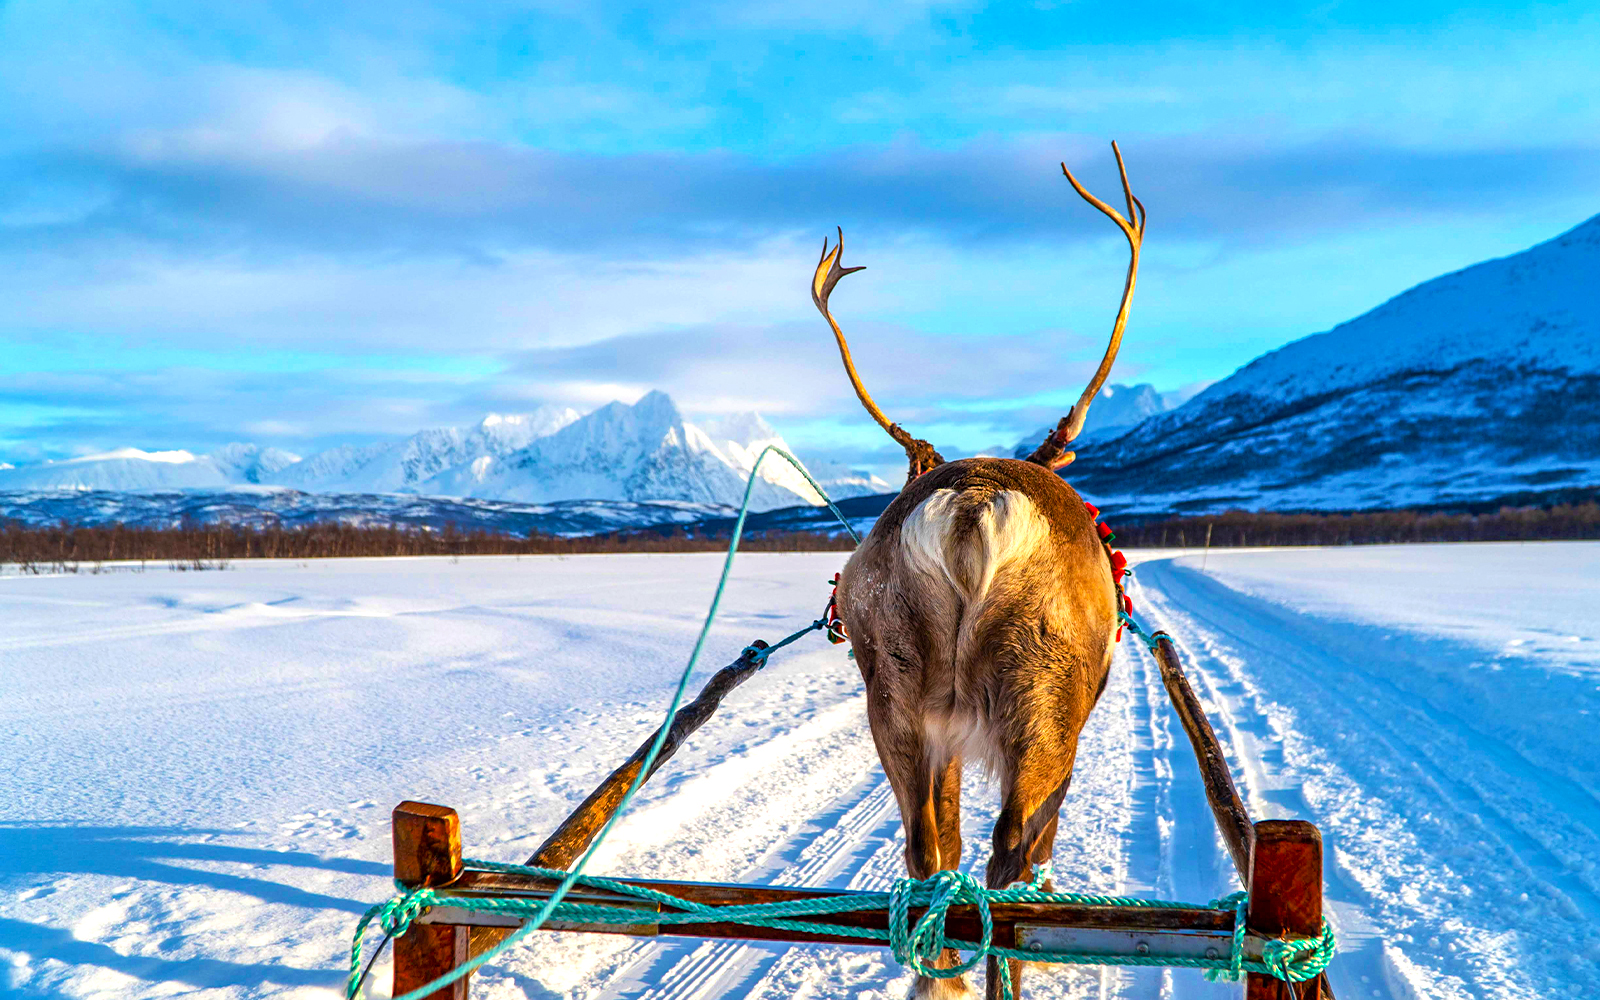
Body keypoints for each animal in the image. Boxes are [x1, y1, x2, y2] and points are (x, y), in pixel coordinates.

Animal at [813, 143, 1144, 1000]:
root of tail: (971, 505)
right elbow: (1035, 846)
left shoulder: (945, 729)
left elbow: (945, 838)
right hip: (1043, 698)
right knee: (1006, 864)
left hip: (895, 691)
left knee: (928, 854)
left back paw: (937, 978)